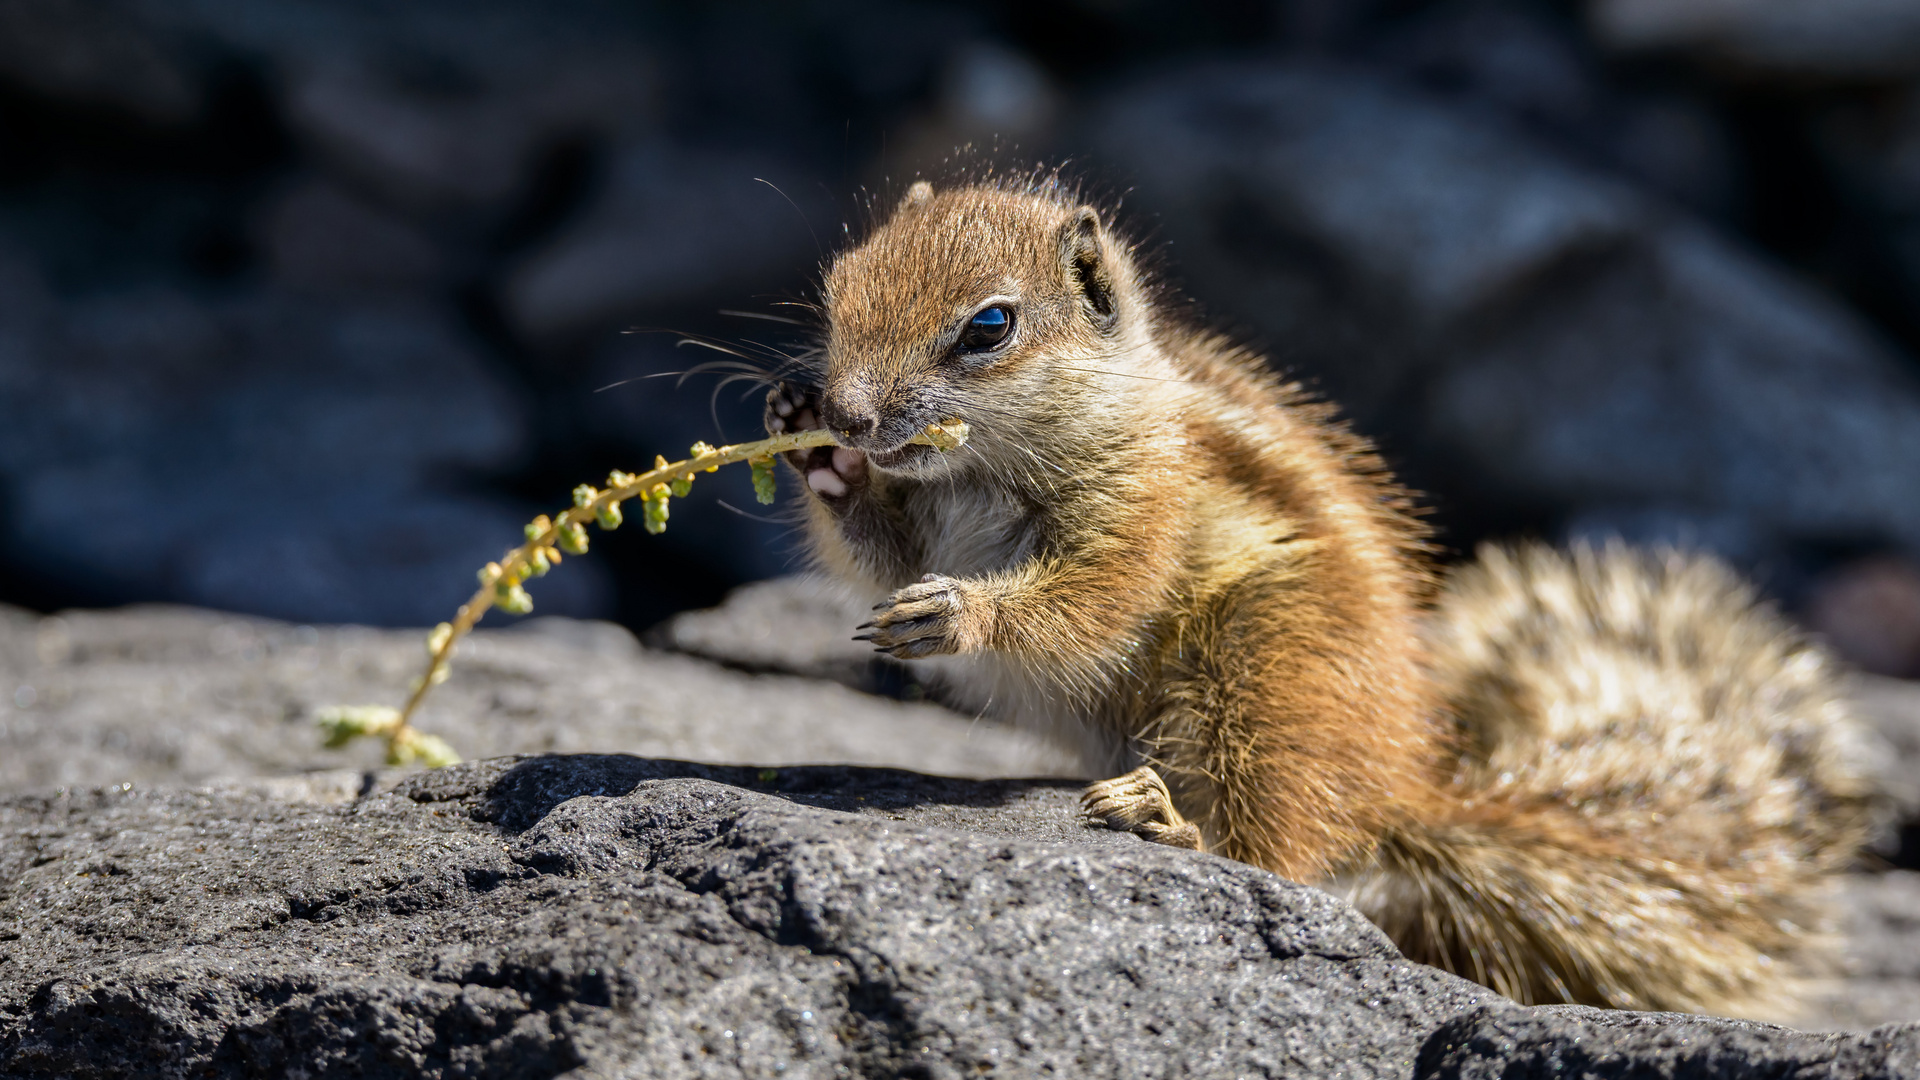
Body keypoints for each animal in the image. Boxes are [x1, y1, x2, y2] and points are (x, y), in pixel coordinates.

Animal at [756, 171, 1866, 1014]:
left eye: (989, 326)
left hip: (1266, 666)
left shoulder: (1145, 507)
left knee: (1283, 853)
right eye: (841, 283)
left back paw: (1171, 824)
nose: (848, 414)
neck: (976, 469)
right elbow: (884, 552)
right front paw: (810, 446)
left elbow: (1093, 602)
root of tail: (1411, 789)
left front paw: (962, 612)